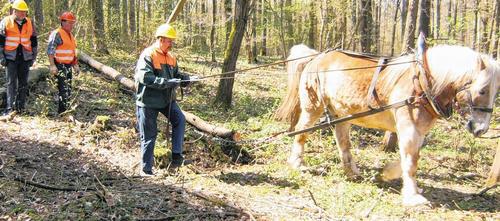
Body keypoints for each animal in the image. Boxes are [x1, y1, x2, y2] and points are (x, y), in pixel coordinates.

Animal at [276, 39, 500, 205]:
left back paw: (352, 172)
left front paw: (389, 174)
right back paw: (296, 163)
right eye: (482, 90)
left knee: (342, 139)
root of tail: (315, 57)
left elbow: (410, 157)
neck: (423, 83)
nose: (481, 129)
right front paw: (413, 196)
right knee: (301, 131)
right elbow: (411, 161)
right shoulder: (409, 127)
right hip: (312, 107)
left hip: (342, 112)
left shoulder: (418, 131)